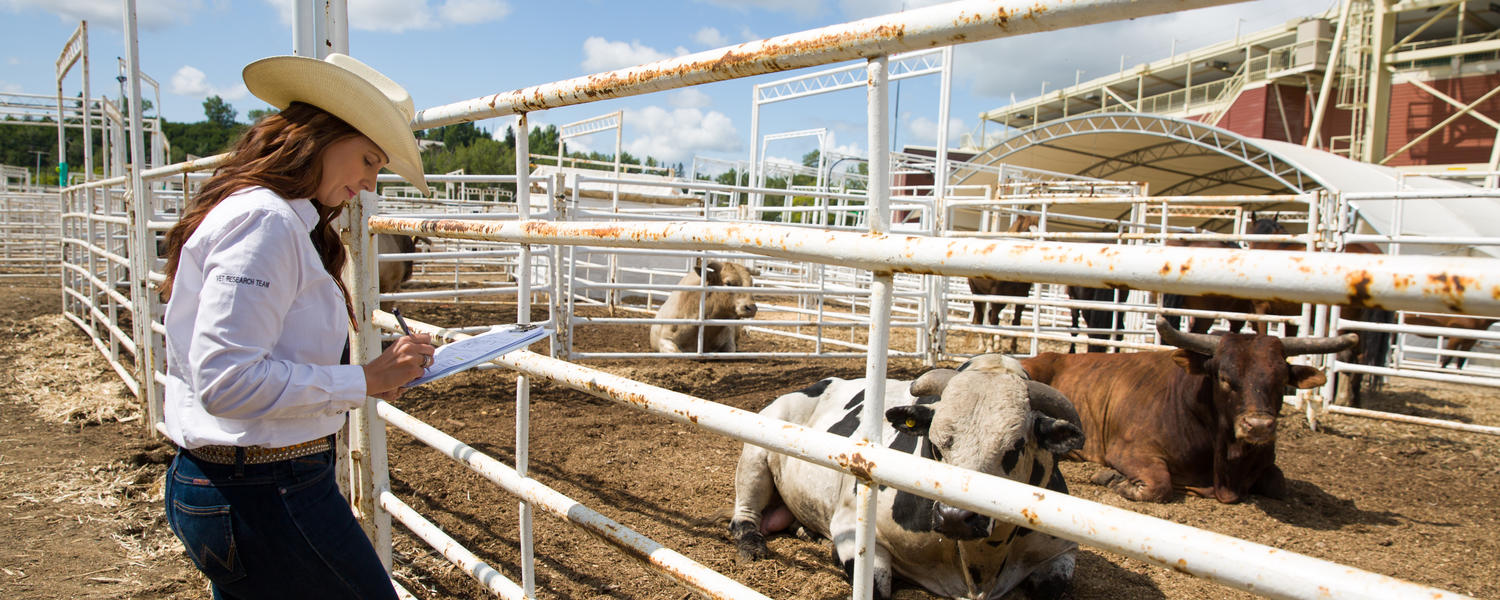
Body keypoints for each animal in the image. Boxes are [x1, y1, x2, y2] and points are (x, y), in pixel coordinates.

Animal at [726, 357, 1080, 600]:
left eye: (1016, 446)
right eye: (935, 444)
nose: (955, 516)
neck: (979, 567)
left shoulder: (1063, 551)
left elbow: (1050, 587)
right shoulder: (853, 529)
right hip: (756, 453)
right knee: (744, 514)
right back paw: (752, 542)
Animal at [1020, 316, 1362, 504]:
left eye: (1281, 380)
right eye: (1225, 378)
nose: (1258, 426)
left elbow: (1279, 485)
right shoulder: (1130, 450)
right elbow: (1159, 485)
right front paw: (1112, 478)